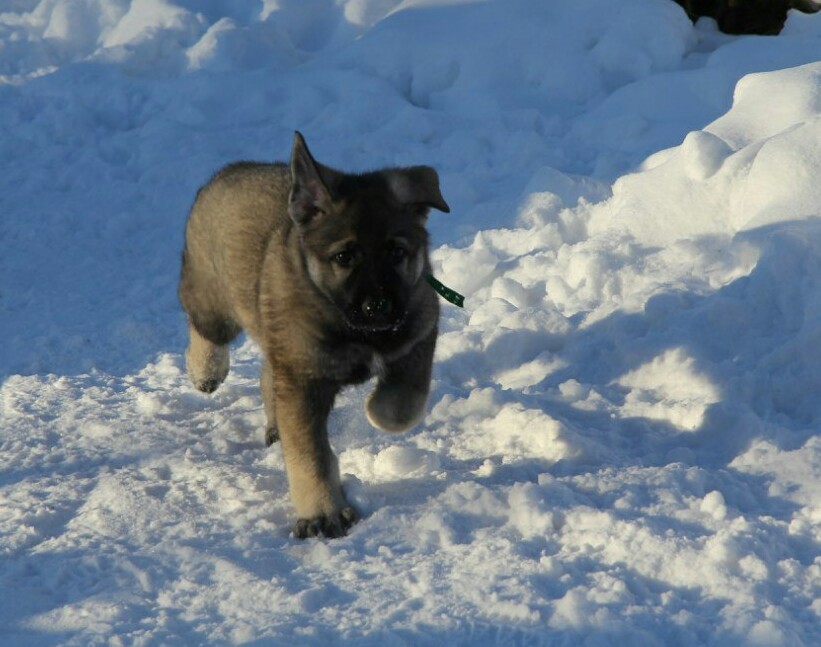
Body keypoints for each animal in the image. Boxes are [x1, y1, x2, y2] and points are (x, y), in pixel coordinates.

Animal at [179, 134, 448, 540]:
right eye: (344, 257)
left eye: (397, 253)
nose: (378, 307)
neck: (353, 329)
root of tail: (231, 170)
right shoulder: (303, 382)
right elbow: (310, 455)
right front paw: (323, 513)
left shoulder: (419, 329)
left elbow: (401, 404)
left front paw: (376, 411)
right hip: (213, 299)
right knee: (206, 329)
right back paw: (205, 371)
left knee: (268, 373)